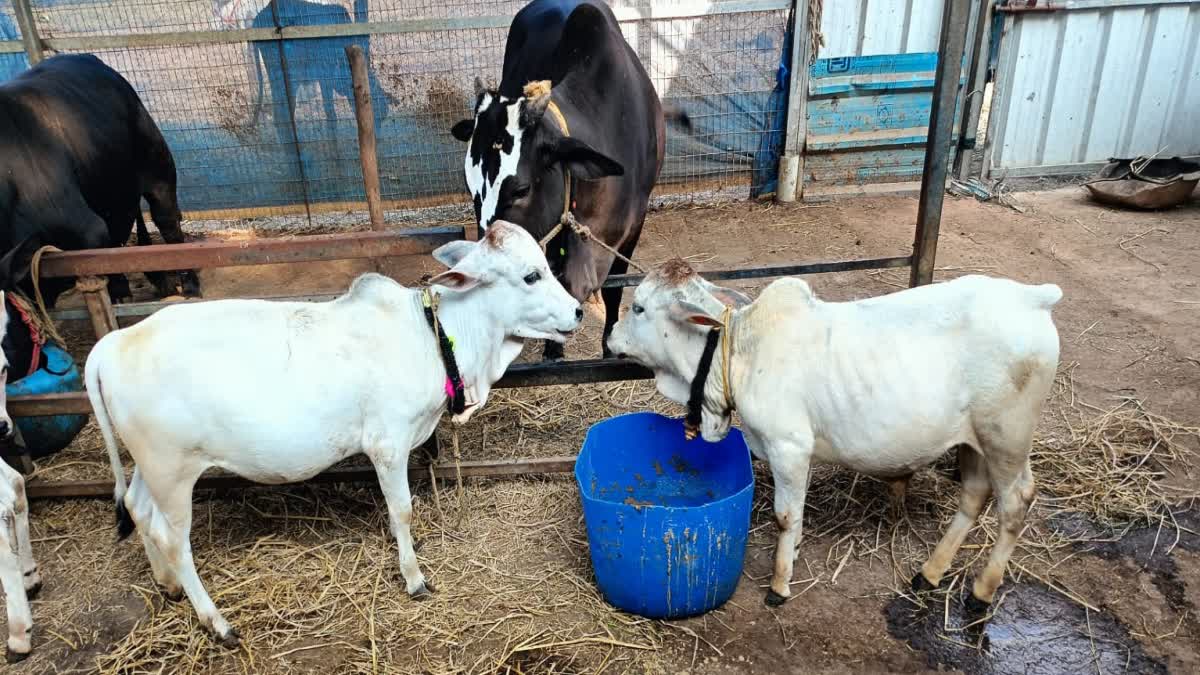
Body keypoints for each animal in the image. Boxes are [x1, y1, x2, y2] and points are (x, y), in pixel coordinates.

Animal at [0, 53, 199, 306]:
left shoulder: (87, 230)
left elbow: (102, 264)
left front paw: (119, 296)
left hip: (158, 170)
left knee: (168, 224)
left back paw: (190, 286)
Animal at [87, 223, 583, 643]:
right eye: (531, 275)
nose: (579, 311)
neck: (434, 335)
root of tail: (112, 344)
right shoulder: (387, 444)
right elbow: (402, 509)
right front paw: (414, 578)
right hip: (171, 470)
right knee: (174, 539)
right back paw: (217, 621)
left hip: (151, 467)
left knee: (138, 510)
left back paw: (167, 584)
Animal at [451, 0, 686, 357]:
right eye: (470, 188)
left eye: (520, 189)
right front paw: (553, 349)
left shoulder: (634, 227)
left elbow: (614, 291)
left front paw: (609, 347)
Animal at [609, 261, 1060, 610]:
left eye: (639, 306)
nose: (610, 335)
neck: (740, 352)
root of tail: (1032, 297)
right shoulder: (798, 452)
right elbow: (796, 514)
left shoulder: (788, 446)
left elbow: (785, 516)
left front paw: (779, 585)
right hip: (975, 440)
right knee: (974, 494)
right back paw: (930, 572)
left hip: (1007, 438)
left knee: (1015, 503)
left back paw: (982, 591)